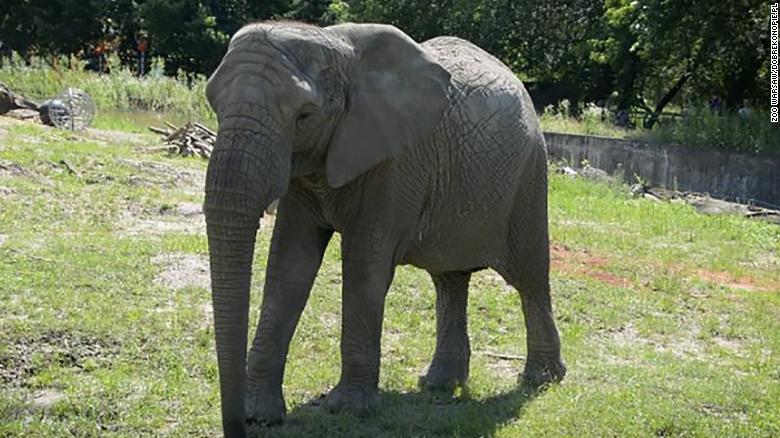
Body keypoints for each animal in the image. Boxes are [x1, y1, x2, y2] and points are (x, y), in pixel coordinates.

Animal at [204, 21, 564, 438]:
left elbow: (365, 267)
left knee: (529, 277)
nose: (236, 427)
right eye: (213, 104)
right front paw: (260, 414)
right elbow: (289, 265)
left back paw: (541, 380)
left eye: (305, 115)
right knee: (449, 279)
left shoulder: (396, 161)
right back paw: (439, 385)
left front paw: (348, 410)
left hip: (529, 175)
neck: (335, 46)